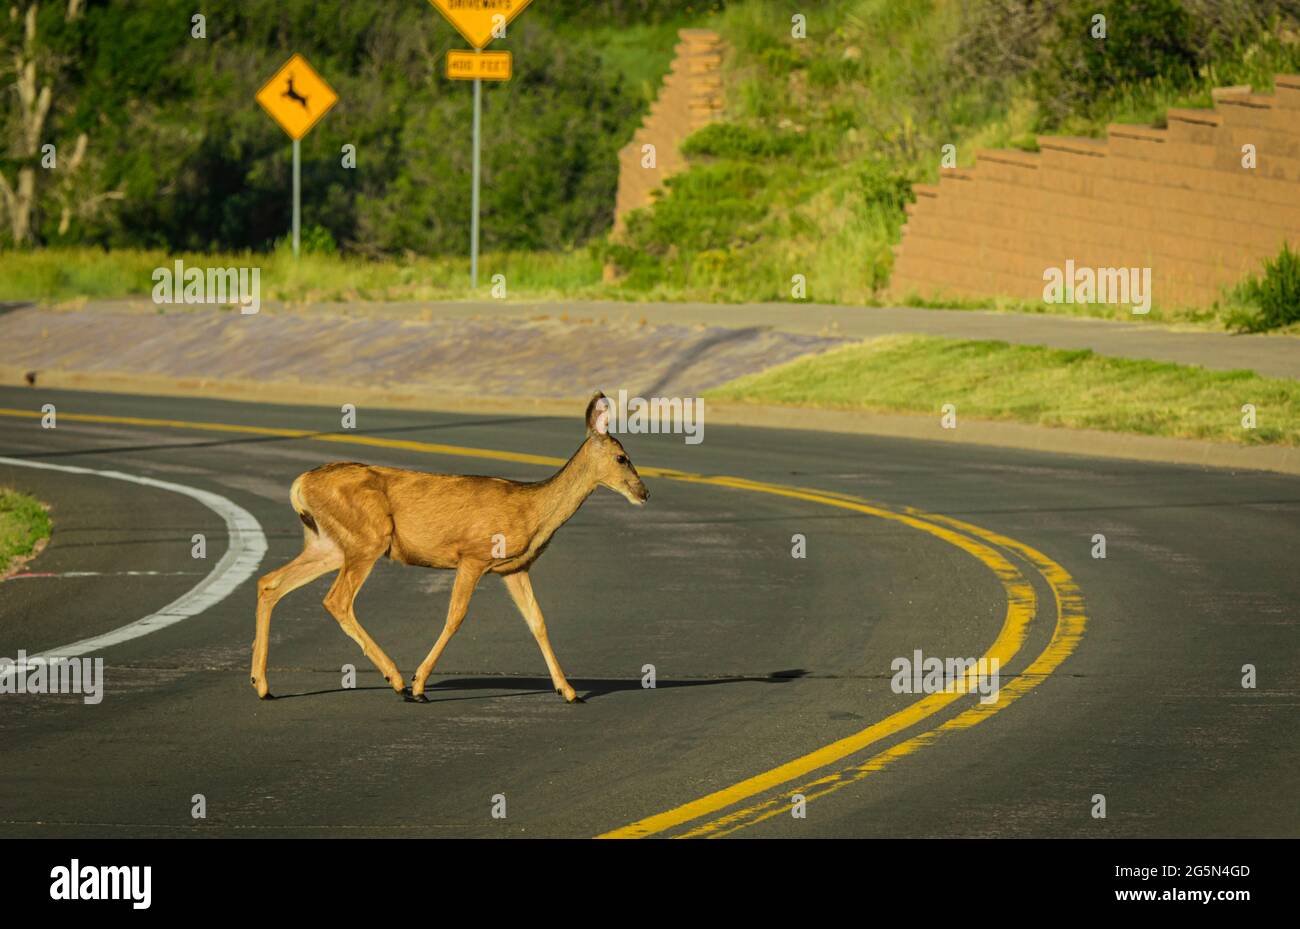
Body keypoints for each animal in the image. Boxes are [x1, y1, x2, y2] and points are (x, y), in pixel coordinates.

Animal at [248, 392, 644, 706]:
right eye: (622, 457)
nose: (644, 492)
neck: (531, 510)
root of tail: (299, 484)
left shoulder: (514, 568)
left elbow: (538, 622)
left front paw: (570, 691)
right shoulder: (472, 556)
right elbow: (455, 617)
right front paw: (420, 684)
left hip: (328, 543)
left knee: (270, 582)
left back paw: (262, 685)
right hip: (368, 537)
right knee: (336, 599)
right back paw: (396, 681)